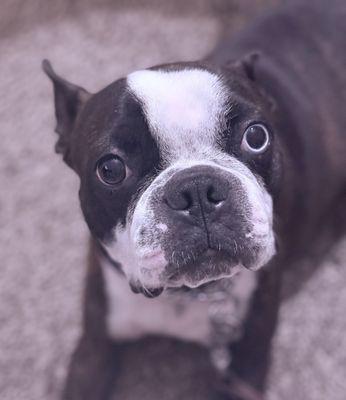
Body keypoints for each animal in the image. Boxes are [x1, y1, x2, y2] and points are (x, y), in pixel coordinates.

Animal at [43, 0, 346, 400]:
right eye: (110, 169)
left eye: (257, 136)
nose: (198, 189)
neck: (189, 295)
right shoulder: (93, 347)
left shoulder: (248, 360)